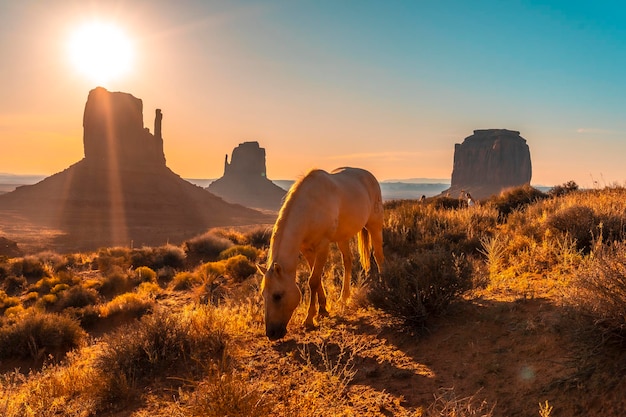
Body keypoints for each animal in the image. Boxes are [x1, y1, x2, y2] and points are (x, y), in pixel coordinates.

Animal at [256, 167, 382, 340]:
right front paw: (323, 309)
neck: (309, 207)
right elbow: (315, 278)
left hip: (374, 224)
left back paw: (384, 284)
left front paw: (309, 319)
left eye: (277, 295)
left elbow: (313, 281)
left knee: (378, 255)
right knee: (347, 261)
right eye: (263, 295)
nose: (271, 334)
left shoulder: (323, 246)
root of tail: (369, 176)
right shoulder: (307, 250)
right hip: (343, 237)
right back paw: (344, 298)